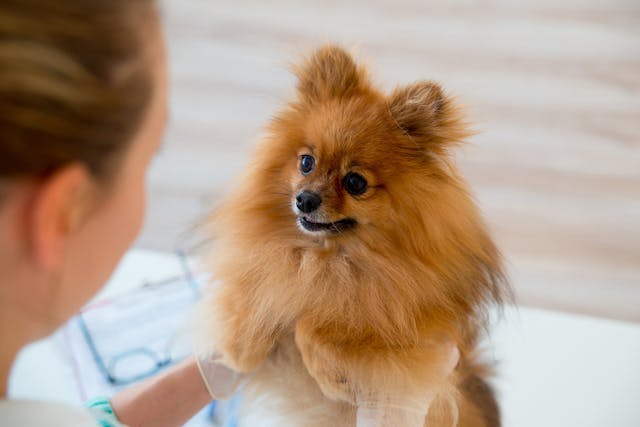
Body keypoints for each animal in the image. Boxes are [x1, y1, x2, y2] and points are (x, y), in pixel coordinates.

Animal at [198, 45, 508, 426]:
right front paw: (241, 350)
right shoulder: (272, 272)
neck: (326, 257)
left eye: (355, 182)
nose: (304, 199)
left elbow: (310, 326)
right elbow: (256, 296)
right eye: (306, 162)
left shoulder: (408, 332)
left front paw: (333, 380)